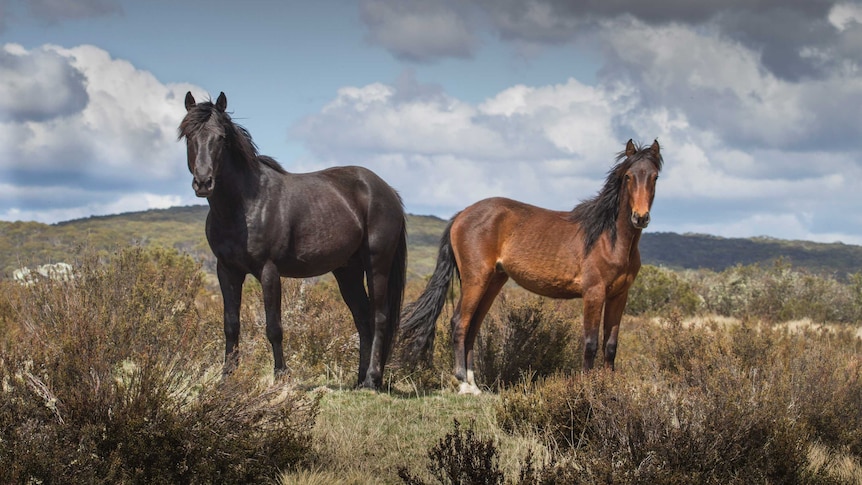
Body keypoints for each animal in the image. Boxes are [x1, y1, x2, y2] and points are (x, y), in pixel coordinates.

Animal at [179, 91, 408, 390]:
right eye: (189, 136)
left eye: (221, 137)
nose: (203, 182)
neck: (243, 205)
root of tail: (387, 190)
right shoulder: (226, 270)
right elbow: (231, 325)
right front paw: (226, 379)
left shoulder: (269, 271)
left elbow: (274, 327)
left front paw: (281, 376)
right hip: (348, 271)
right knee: (362, 319)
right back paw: (359, 380)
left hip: (377, 265)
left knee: (378, 317)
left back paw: (371, 379)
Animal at [402, 139, 664, 394]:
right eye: (628, 176)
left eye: (654, 177)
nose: (640, 217)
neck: (608, 239)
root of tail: (462, 215)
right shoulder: (594, 293)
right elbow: (590, 344)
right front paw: (587, 387)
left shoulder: (619, 296)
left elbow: (610, 345)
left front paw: (608, 387)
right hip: (475, 280)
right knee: (459, 323)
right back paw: (464, 384)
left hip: (493, 282)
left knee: (473, 327)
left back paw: (475, 385)